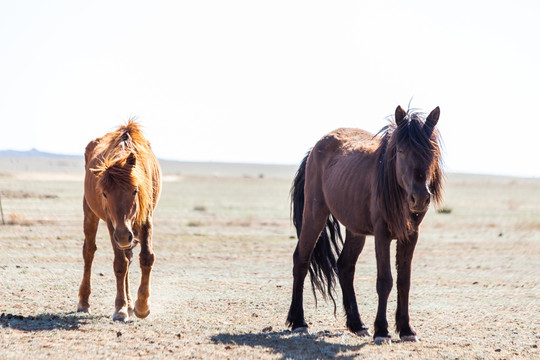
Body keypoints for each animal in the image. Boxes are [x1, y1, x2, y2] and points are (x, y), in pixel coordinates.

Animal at [76, 120, 161, 320]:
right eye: (105, 194)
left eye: (135, 191)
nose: (123, 235)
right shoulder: (111, 224)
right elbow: (120, 264)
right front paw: (120, 309)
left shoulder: (145, 218)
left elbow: (146, 257)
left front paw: (141, 306)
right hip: (90, 212)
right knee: (89, 252)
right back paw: (84, 302)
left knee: (129, 256)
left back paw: (131, 304)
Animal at [286, 105, 442, 344]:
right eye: (401, 151)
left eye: (431, 152)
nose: (420, 197)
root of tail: (316, 148)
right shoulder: (382, 234)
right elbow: (385, 281)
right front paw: (382, 331)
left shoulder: (410, 236)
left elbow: (404, 281)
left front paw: (406, 329)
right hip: (314, 213)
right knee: (301, 260)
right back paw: (298, 322)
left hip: (355, 229)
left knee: (345, 266)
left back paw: (357, 324)